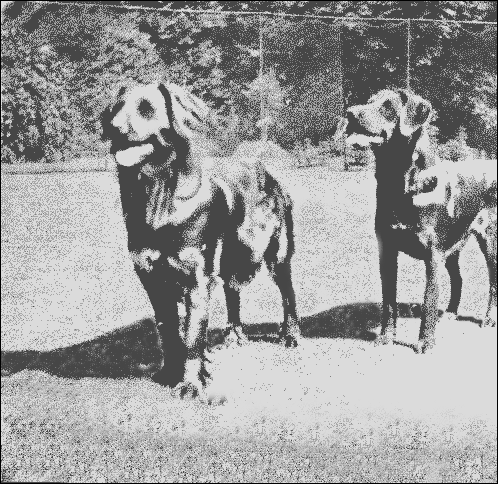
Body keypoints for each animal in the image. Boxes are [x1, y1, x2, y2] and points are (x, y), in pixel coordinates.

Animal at [101, 81, 300, 399]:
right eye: (116, 109)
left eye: (146, 108)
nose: (113, 127)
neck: (160, 197)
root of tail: (266, 171)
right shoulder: (151, 275)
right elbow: (169, 330)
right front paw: (171, 372)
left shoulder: (196, 275)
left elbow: (193, 334)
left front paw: (192, 383)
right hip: (230, 257)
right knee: (232, 292)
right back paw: (234, 335)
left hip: (274, 253)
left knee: (287, 294)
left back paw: (290, 335)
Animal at [336, 88, 497, 353]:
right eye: (369, 101)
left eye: (387, 106)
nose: (350, 112)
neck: (399, 182)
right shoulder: (387, 250)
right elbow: (388, 299)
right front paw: (386, 336)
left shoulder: (432, 253)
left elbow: (429, 299)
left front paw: (425, 342)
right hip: (453, 245)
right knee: (458, 277)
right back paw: (450, 312)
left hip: (490, 239)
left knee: (493, 280)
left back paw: (489, 318)